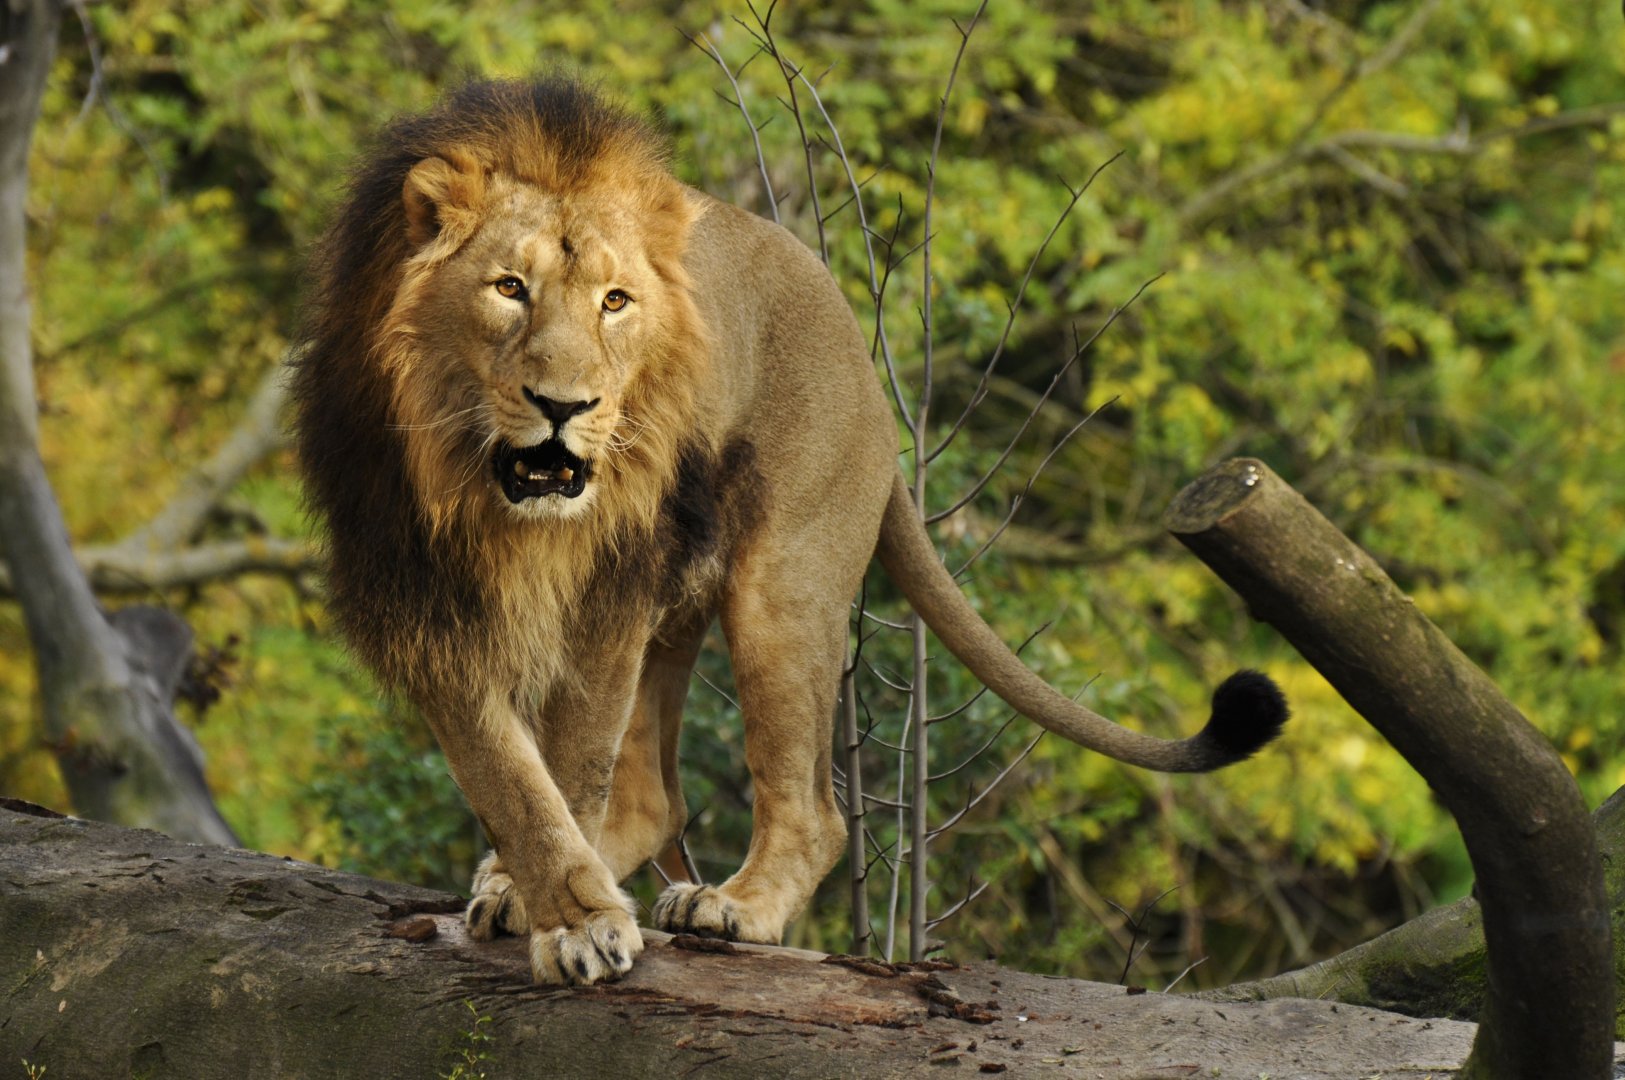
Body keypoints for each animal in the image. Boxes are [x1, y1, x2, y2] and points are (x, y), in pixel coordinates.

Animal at [291, 78, 1286, 986]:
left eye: (614, 301)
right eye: (508, 288)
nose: (565, 406)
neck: (492, 499)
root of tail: (865, 364)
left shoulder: (608, 590)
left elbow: (568, 769)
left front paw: (574, 924)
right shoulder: (417, 601)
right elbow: (510, 779)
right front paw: (556, 902)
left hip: (780, 588)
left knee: (810, 810)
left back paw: (737, 908)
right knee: (654, 796)